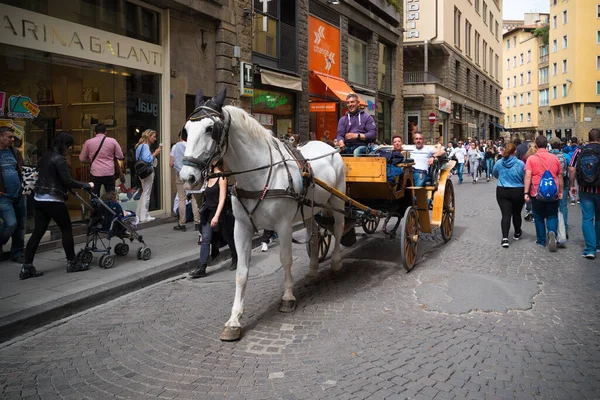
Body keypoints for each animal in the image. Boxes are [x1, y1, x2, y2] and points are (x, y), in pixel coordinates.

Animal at [179, 89, 346, 342]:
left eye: (210, 129)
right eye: (187, 130)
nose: (187, 177)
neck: (258, 173)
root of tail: (329, 146)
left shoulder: (284, 225)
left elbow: (285, 259)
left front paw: (288, 297)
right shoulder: (241, 227)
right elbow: (241, 272)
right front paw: (234, 320)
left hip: (337, 201)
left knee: (338, 228)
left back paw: (335, 263)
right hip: (310, 209)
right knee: (316, 235)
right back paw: (313, 270)